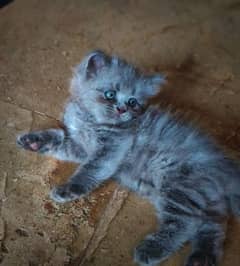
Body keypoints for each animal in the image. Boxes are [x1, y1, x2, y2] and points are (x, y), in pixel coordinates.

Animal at [17, 51, 240, 264]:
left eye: (133, 101)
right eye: (110, 94)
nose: (122, 109)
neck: (90, 120)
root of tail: (223, 165)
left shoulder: (111, 149)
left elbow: (90, 170)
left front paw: (69, 189)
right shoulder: (79, 146)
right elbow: (58, 138)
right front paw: (33, 141)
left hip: (178, 188)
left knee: (186, 223)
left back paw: (152, 249)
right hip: (197, 197)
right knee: (214, 224)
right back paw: (202, 257)